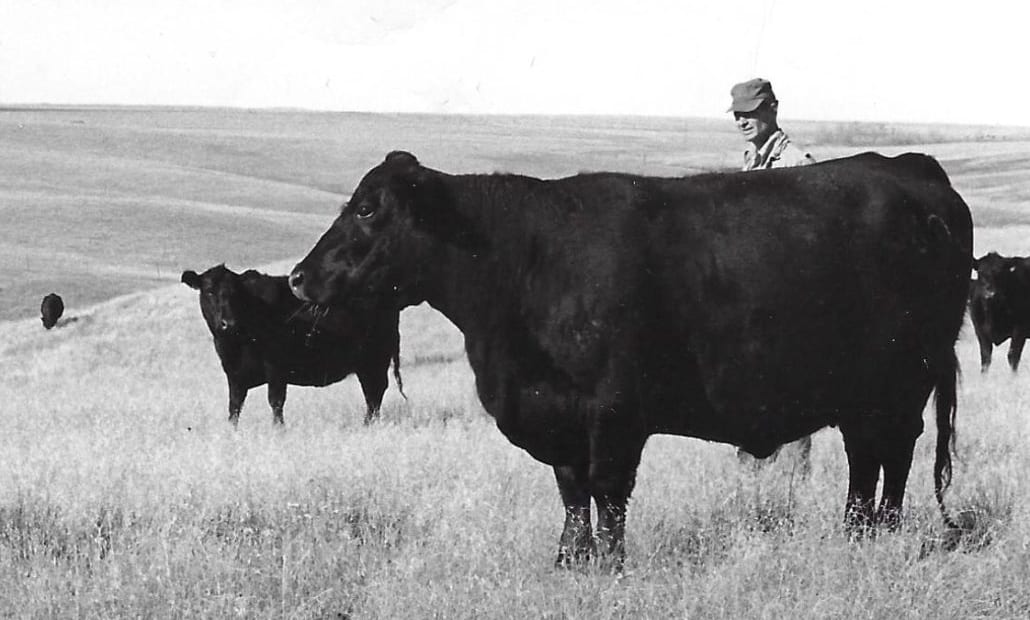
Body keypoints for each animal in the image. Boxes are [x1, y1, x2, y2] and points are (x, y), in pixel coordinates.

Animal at [181, 265, 402, 427]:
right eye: (209, 292)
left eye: (235, 293)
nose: (229, 323)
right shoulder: (234, 374)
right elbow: (234, 407)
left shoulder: (276, 367)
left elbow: (276, 401)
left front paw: (278, 429)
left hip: (374, 361)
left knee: (374, 393)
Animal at [288, 151, 972, 570]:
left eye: (367, 208)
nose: (297, 277)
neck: (525, 262)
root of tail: (910, 169)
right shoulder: (558, 416)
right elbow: (570, 491)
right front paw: (570, 560)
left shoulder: (615, 410)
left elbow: (607, 491)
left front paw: (611, 564)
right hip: (866, 394)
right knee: (869, 458)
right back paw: (859, 533)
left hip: (901, 386)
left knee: (891, 458)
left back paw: (876, 534)